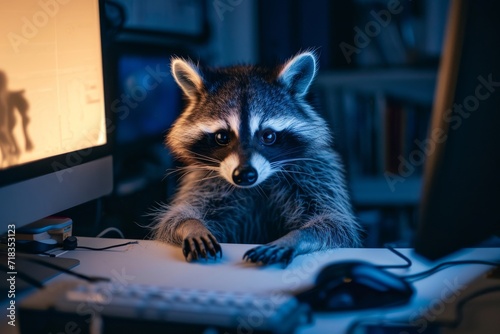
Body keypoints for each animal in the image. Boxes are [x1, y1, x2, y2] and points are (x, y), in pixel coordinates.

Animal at [151, 51, 360, 266]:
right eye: (222, 137)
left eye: (268, 136)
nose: (245, 175)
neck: (256, 186)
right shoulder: (203, 179)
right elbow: (175, 217)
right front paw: (192, 226)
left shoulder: (315, 172)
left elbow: (334, 224)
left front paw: (296, 237)